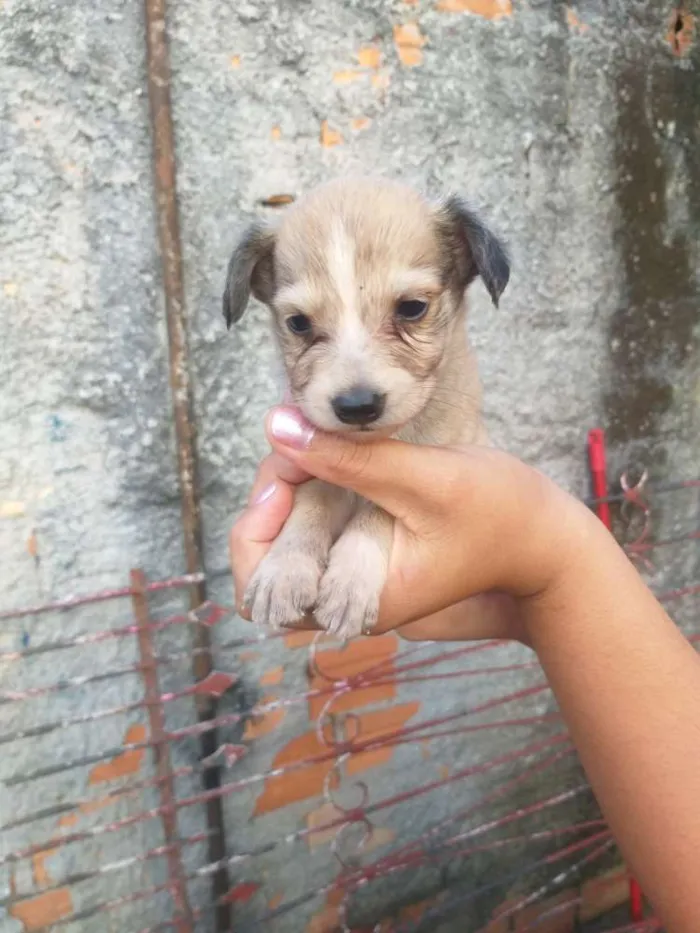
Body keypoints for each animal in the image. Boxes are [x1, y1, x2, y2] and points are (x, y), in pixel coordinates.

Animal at [224, 176, 508, 640]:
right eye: (298, 323)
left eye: (412, 308)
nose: (356, 406)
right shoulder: (312, 468)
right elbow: (310, 502)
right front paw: (284, 569)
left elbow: (380, 510)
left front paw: (350, 583)